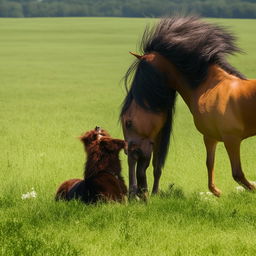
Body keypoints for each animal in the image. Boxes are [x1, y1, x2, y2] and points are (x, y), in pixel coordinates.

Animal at [121, 16, 256, 198]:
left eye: (128, 122)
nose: (129, 151)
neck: (209, 88)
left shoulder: (232, 138)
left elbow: (238, 173)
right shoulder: (210, 137)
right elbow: (210, 165)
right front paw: (217, 192)